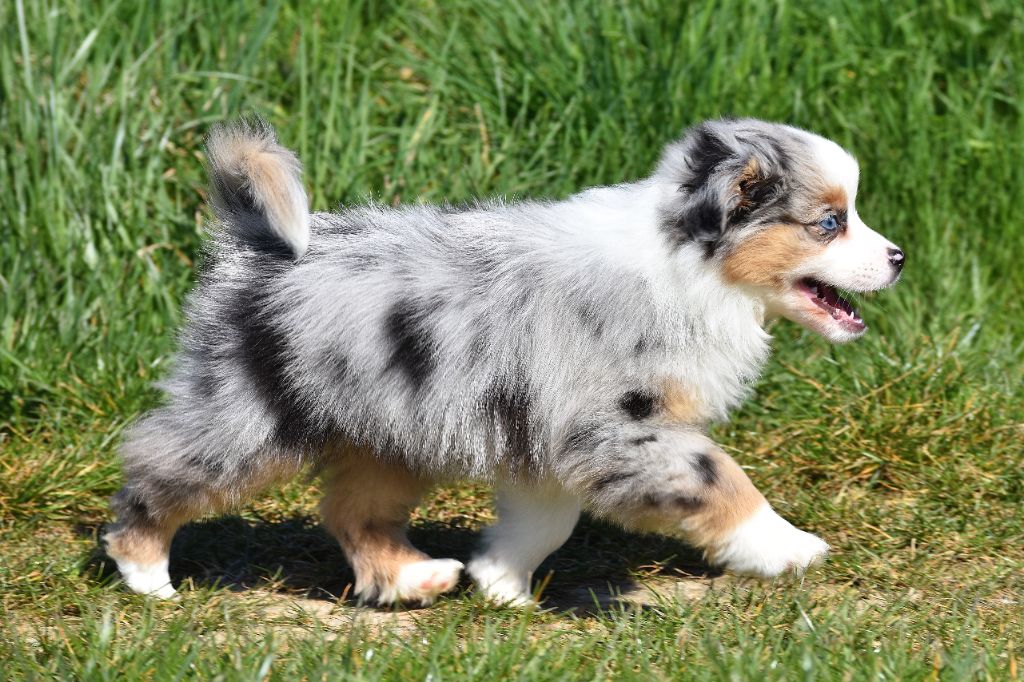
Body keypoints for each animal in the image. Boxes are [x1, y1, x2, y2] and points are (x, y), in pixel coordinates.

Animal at [104, 117, 904, 605]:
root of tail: (254, 247)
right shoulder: (619, 425)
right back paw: (144, 569)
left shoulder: (554, 433)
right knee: (161, 462)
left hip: (390, 433)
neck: (692, 266)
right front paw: (786, 547)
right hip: (249, 412)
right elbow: (721, 478)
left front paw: (499, 584)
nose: (898, 257)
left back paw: (415, 578)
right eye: (829, 222)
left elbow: (546, 521)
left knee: (352, 509)